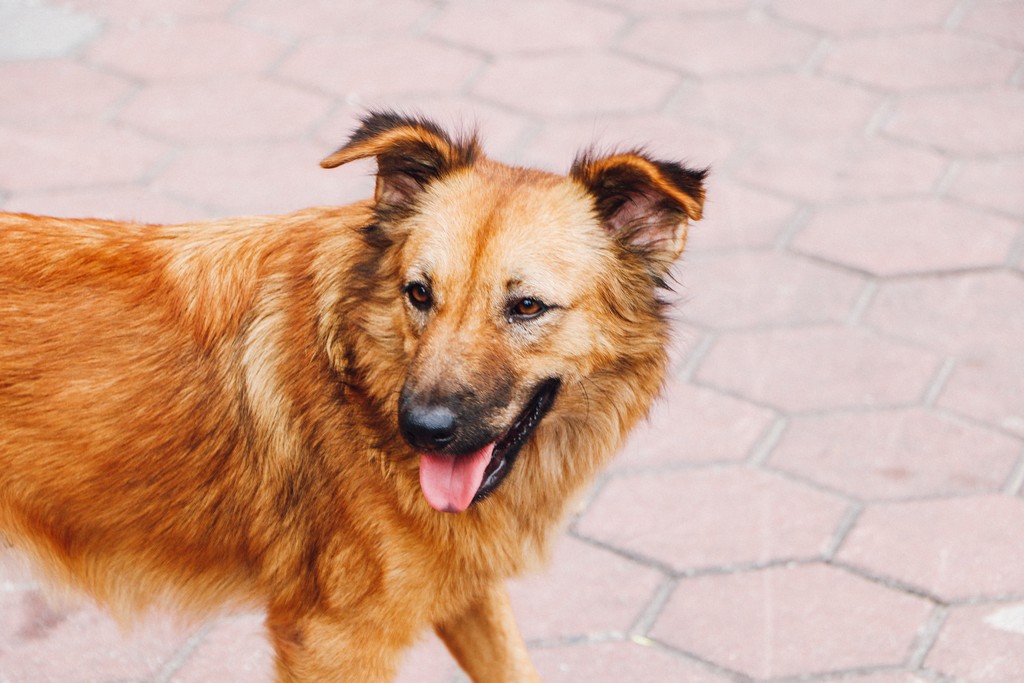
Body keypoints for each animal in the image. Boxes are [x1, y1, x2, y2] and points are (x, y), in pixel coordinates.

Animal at [0, 109, 704, 679]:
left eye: (527, 306)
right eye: (419, 292)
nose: (422, 429)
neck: (360, 375)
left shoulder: (466, 588)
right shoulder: (333, 640)